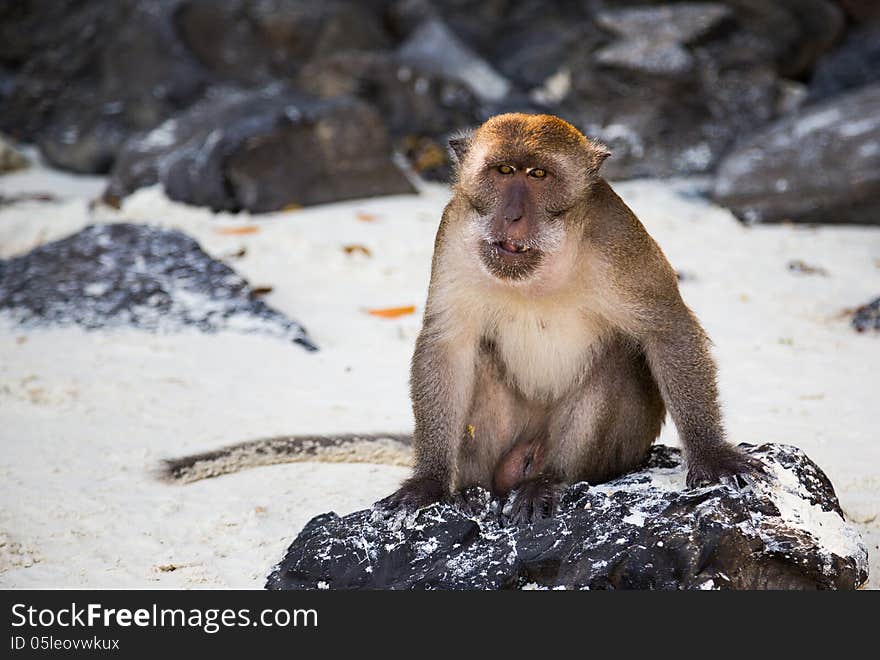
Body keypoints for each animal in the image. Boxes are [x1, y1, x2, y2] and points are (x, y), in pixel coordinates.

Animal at [378, 113, 764, 524]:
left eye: (538, 174)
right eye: (504, 170)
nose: (512, 215)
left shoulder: (616, 239)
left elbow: (667, 328)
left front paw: (711, 454)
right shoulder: (453, 233)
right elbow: (447, 345)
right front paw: (430, 481)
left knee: (615, 358)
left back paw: (549, 480)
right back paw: (473, 491)